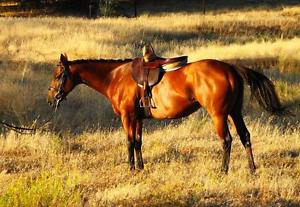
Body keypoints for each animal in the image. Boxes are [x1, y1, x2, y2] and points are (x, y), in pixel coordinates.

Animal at [47, 53, 286, 173]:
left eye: (59, 75)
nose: (51, 99)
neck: (115, 77)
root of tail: (230, 68)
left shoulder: (127, 117)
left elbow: (129, 142)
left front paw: (131, 168)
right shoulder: (138, 118)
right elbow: (138, 142)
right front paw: (141, 167)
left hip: (219, 115)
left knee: (226, 140)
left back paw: (223, 170)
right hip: (234, 112)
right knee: (245, 136)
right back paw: (252, 169)